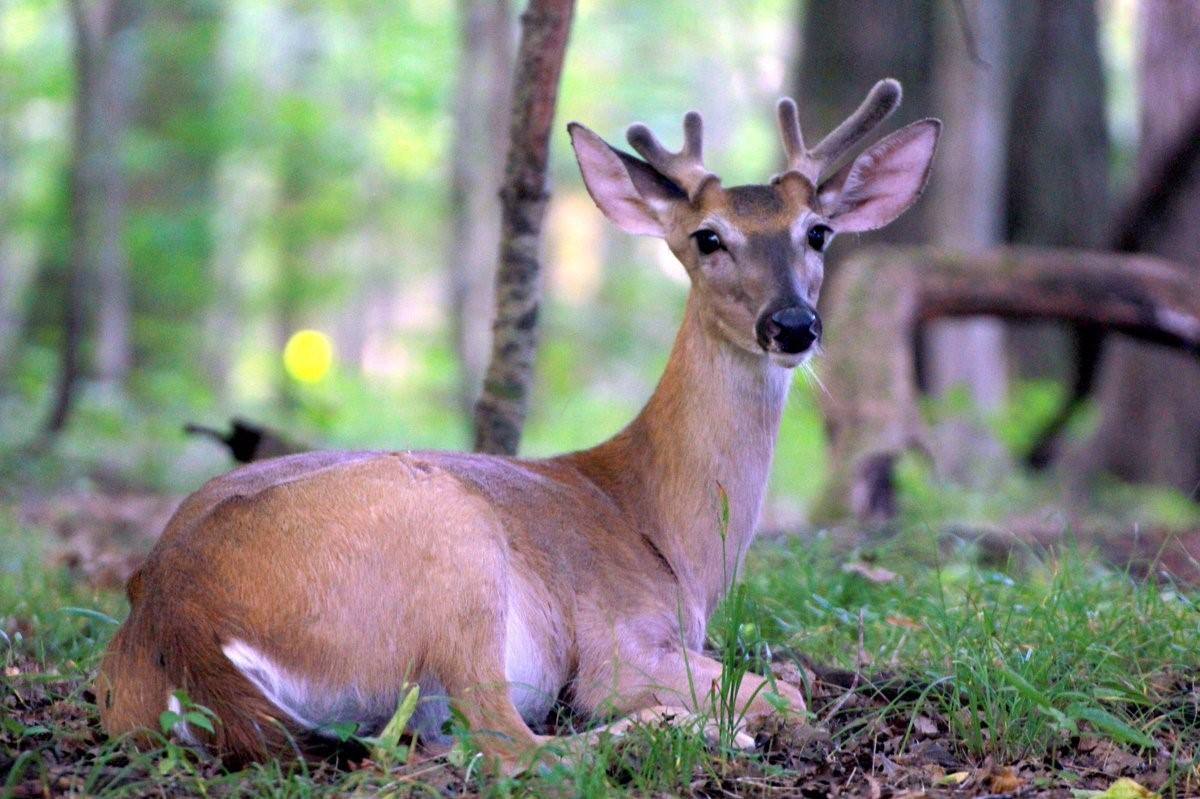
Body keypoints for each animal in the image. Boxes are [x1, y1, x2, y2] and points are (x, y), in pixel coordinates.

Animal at [96, 77, 936, 767]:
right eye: (709, 238)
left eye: (818, 231)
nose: (792, 324)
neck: (664, 528)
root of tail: (178, 624)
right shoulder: (617, 639)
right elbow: (779, 691)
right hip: (450, 547)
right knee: (512, 746)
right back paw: (693, 730)